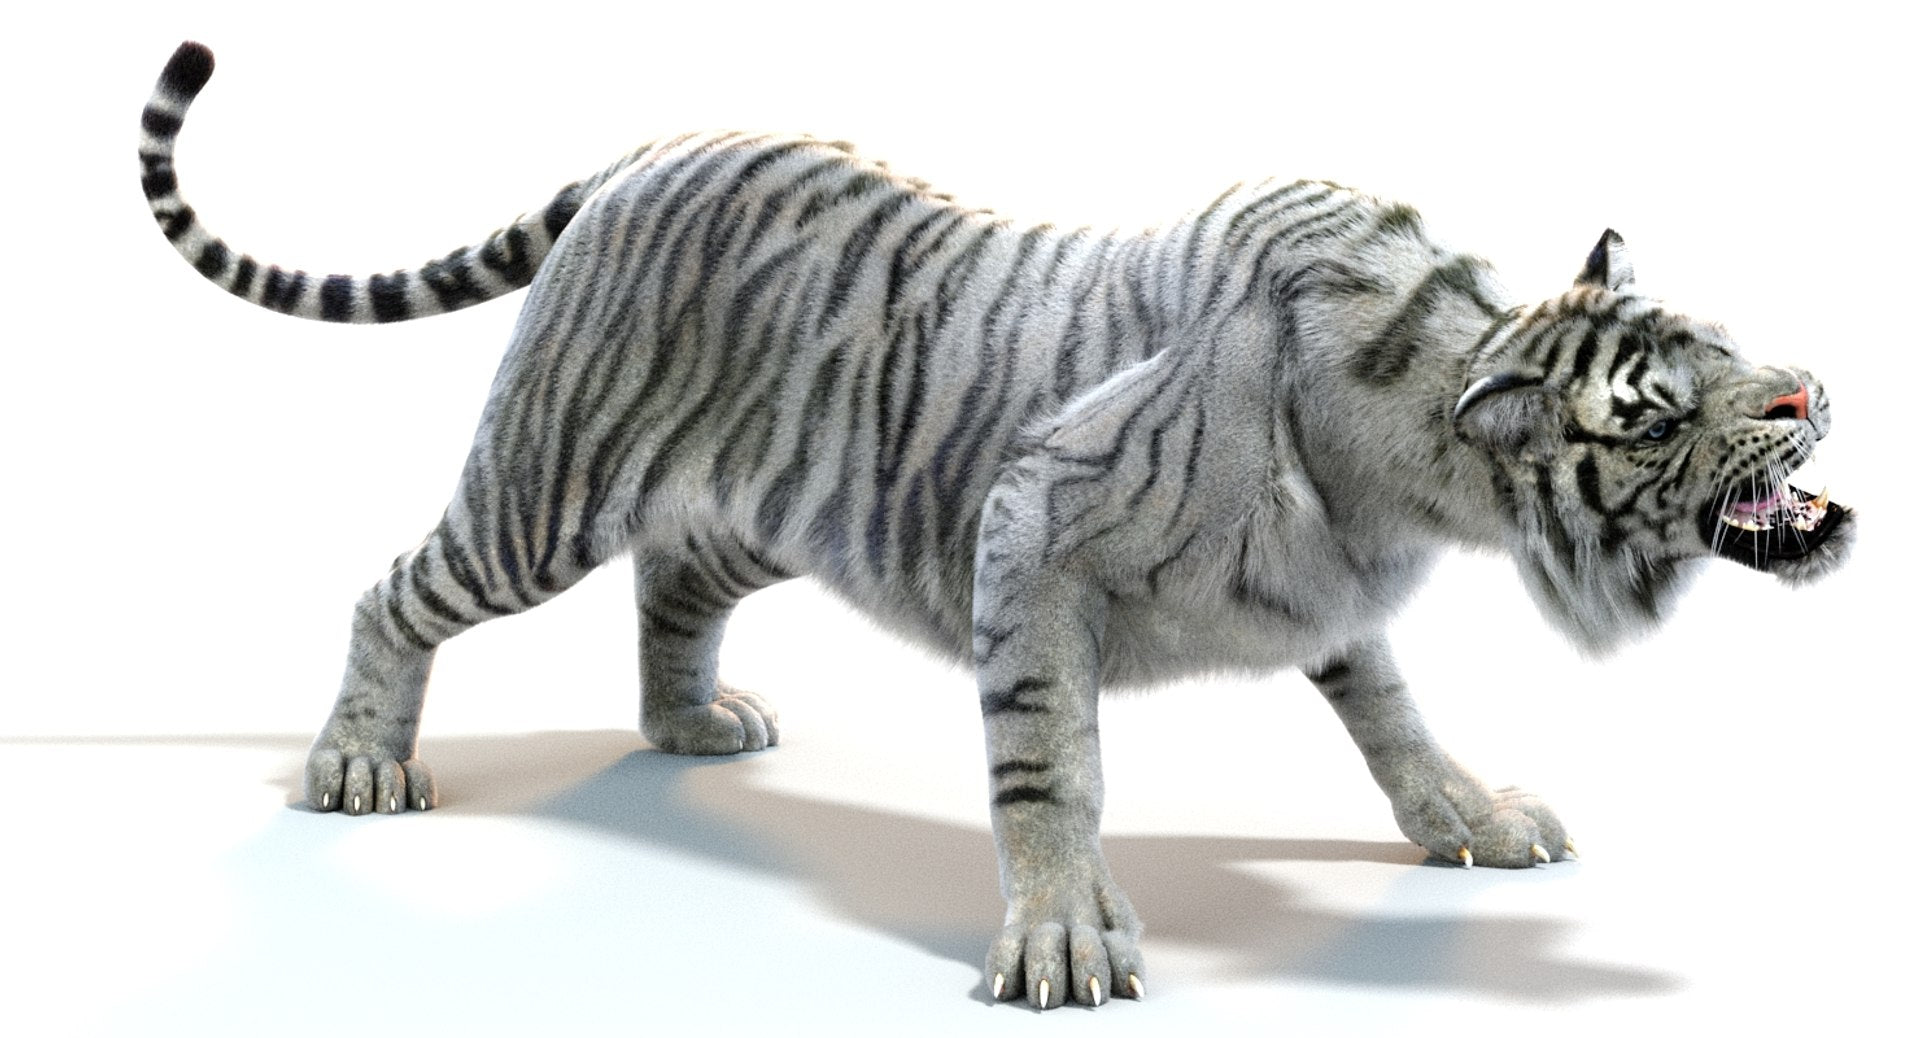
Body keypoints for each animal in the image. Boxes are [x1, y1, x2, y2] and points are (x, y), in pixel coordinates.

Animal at [139, 41, 1852, 1010]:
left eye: (1719, 340)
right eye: (1653, 408)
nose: (1814, 389)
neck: (1413, 449)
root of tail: (652, 147)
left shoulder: (1332, 596)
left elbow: (1396, 718)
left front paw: (1474, 816)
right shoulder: (1030, 531)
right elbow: (1049, 761)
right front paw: (1063, 943)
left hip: (768, 501)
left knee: (674, 580)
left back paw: (690, 723)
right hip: (543, 487)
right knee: (395, 587)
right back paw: (360, 764)